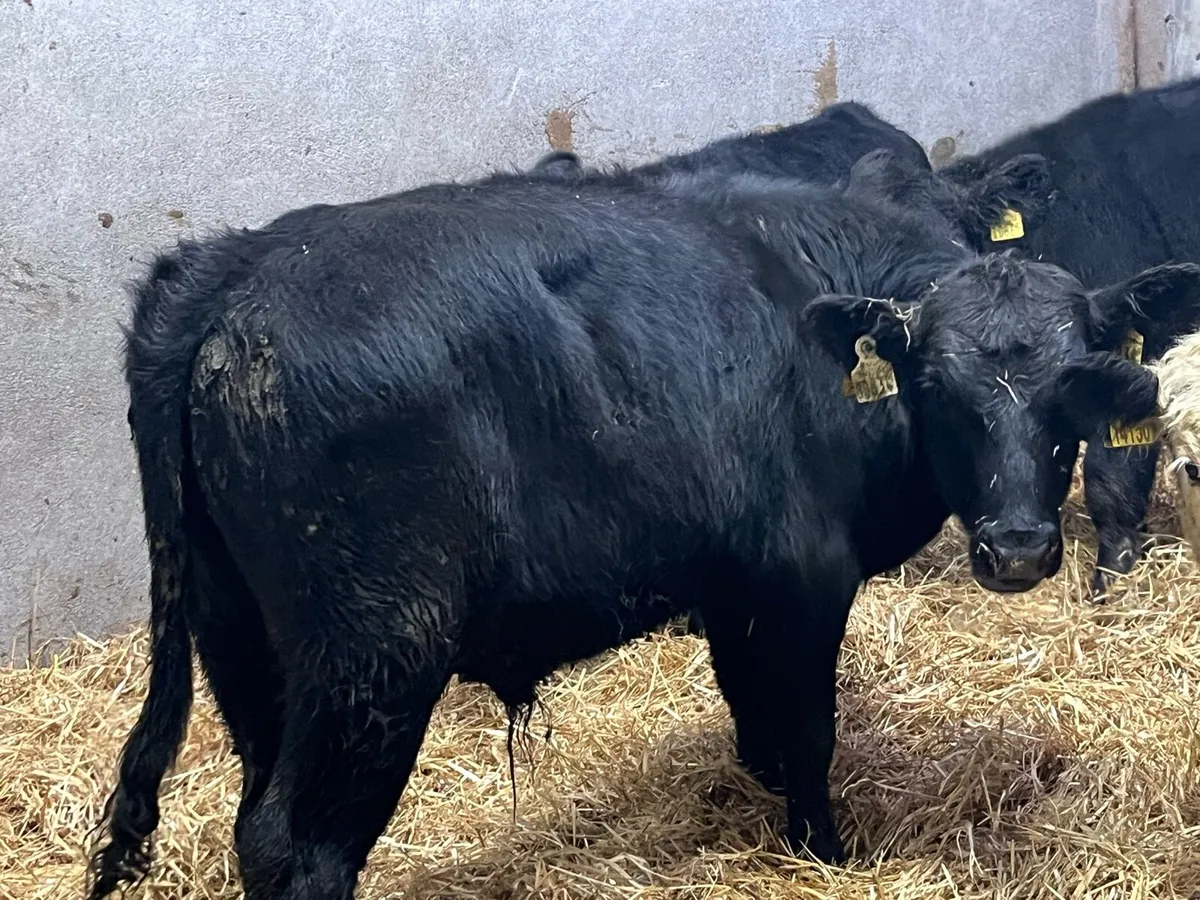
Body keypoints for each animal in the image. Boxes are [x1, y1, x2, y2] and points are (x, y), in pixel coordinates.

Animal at [85, 151, 1200, 900]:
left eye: (1069, 389)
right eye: (938, 388)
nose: (1019, 547)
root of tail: (230, 270)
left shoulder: (734, 584)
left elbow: (755, 719)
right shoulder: (804, 575)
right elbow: (808, 728)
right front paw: (826, 853)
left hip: (242, 641)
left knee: (253, 819)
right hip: (373, 649)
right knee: (298, 845)